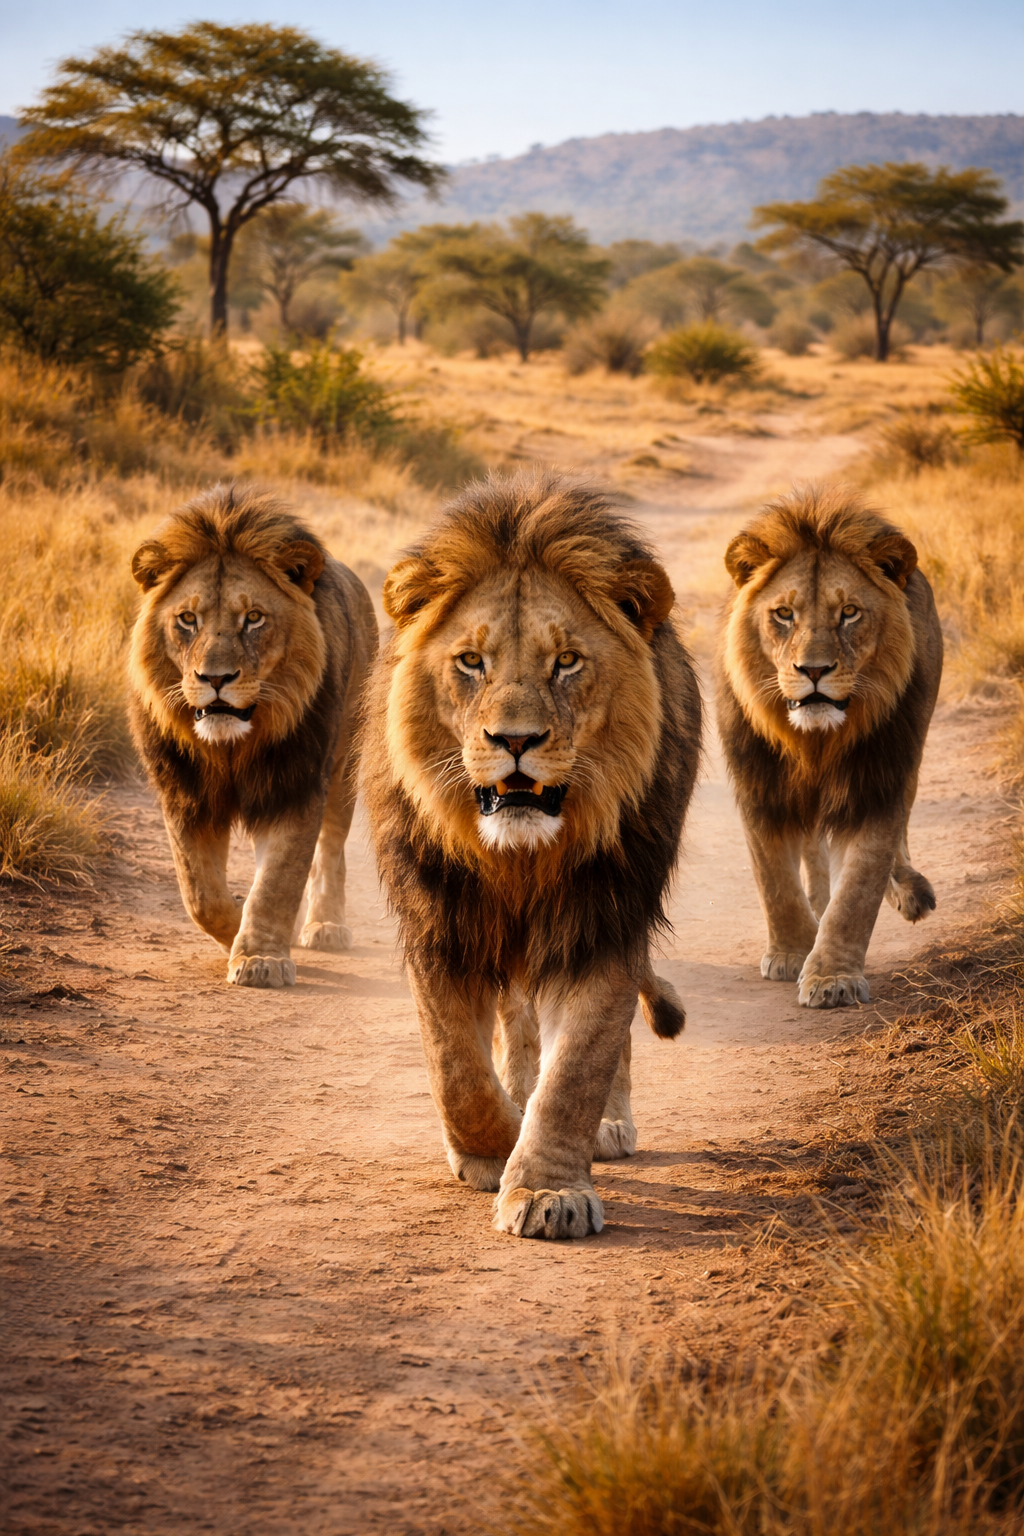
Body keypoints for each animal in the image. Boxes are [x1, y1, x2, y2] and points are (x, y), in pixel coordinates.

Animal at [128, 485, 377, 988]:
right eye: (187, 619)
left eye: (254, 618)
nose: (215, 678)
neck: (232, 747)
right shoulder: (185, 794)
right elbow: (200, 894)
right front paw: (238, 933)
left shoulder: (296, 786)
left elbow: (278, 881)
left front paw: (262, 956)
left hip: (343, 770)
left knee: (331, 850)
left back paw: (325, 924)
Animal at [361, 474, 702, 1240]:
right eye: (471, 661)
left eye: (566, 662)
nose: (514, 740)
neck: (518, 860)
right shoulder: (440, 922)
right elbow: (455, 1065)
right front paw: (491, 1151)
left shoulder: (605, 919)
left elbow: (577, 1068)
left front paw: (548, 1190)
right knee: (513, 1028)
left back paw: (607, 1123)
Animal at [716, 485, 942, 1009]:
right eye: (784, 614)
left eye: (849, 612)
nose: (814, 670)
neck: (815, 742)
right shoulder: (760, 786)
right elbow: (775, 881)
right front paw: (791, 952)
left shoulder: (878, 783)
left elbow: (857, 891)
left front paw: (832, 977)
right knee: (811, 850)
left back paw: (907, 891)